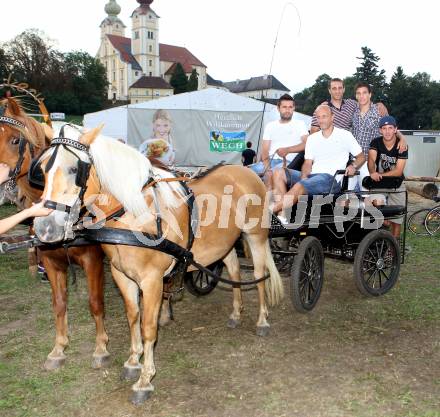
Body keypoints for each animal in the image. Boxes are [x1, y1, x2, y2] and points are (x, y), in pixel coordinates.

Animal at [0, 97, 109, 368]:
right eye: (43, 169)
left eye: (15, 140)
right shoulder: (50, 259)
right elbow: (59, 303)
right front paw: (59, 348)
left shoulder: (92, 259)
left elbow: (95, 302)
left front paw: (101, 347)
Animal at [32, 126, 284, 404]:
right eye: (42, 167)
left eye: (75, 169)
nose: (44, 228)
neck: (136, 215)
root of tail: (247, 171)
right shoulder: (121, 275)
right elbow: (133, 317)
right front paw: (133, 362)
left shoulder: (151, 280)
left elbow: (148, 327)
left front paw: (145, 380)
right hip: (224, 242)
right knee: (234, 268)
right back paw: (236, 313)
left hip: (256, 236)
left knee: (260, 275)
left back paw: (262, 321)